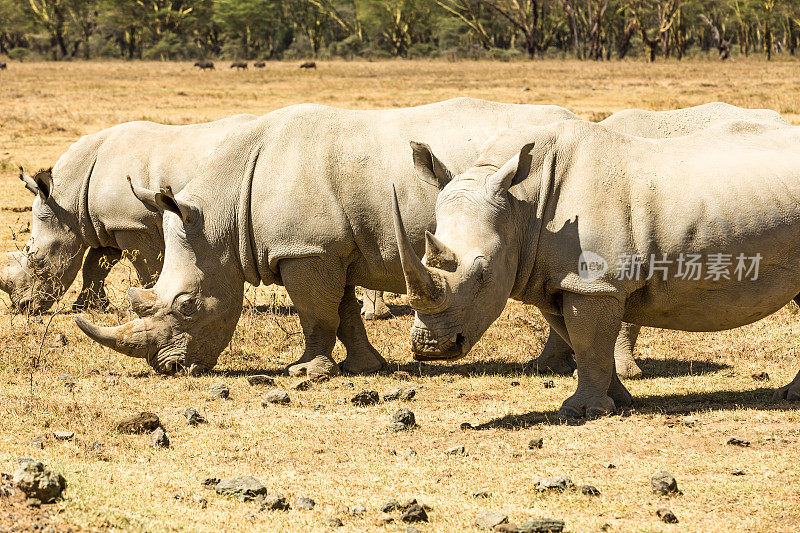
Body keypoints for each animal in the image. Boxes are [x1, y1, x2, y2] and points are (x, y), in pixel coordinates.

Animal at [0, 115, 256, 314]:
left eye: (39, 261)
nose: (22, 306)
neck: (68, 201)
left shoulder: (133, 225)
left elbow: (146, 266)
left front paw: (149, 303)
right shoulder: (105, 223)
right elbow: (95, 265)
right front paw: (88, 307)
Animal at [75, 98, 580, 374]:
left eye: (186, 305)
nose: (170, 368)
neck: (223, 214)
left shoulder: (305, 251)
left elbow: (315, 313)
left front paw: (305, 372)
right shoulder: (330, 248)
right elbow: (343, 312)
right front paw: (365, 367)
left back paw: (548, 368)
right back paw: (551, 367)